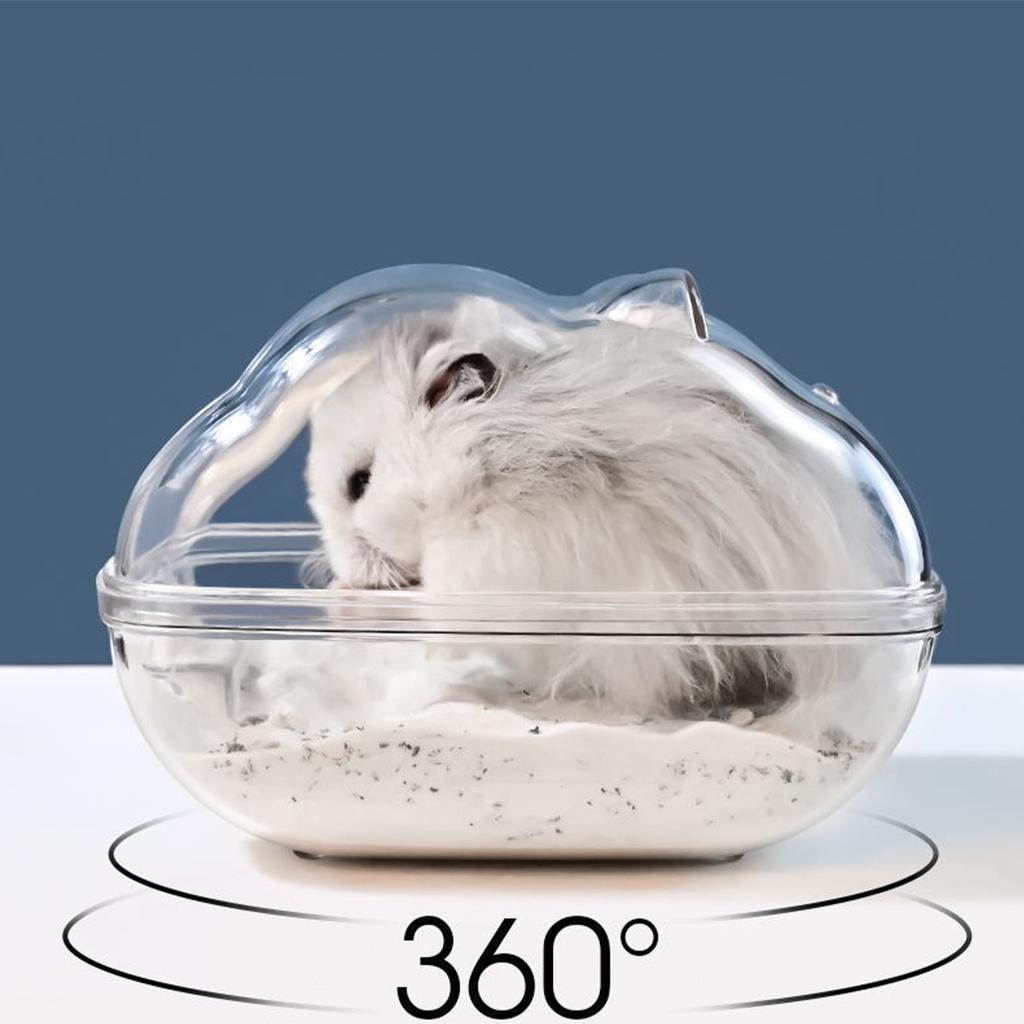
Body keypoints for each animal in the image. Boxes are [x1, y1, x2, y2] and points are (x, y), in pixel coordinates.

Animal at [305, 298, 899, 719]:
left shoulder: (495, 568)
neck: (482, 467)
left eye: (359, 483)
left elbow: (430, 603)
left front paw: (346, 598)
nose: (338, 570)